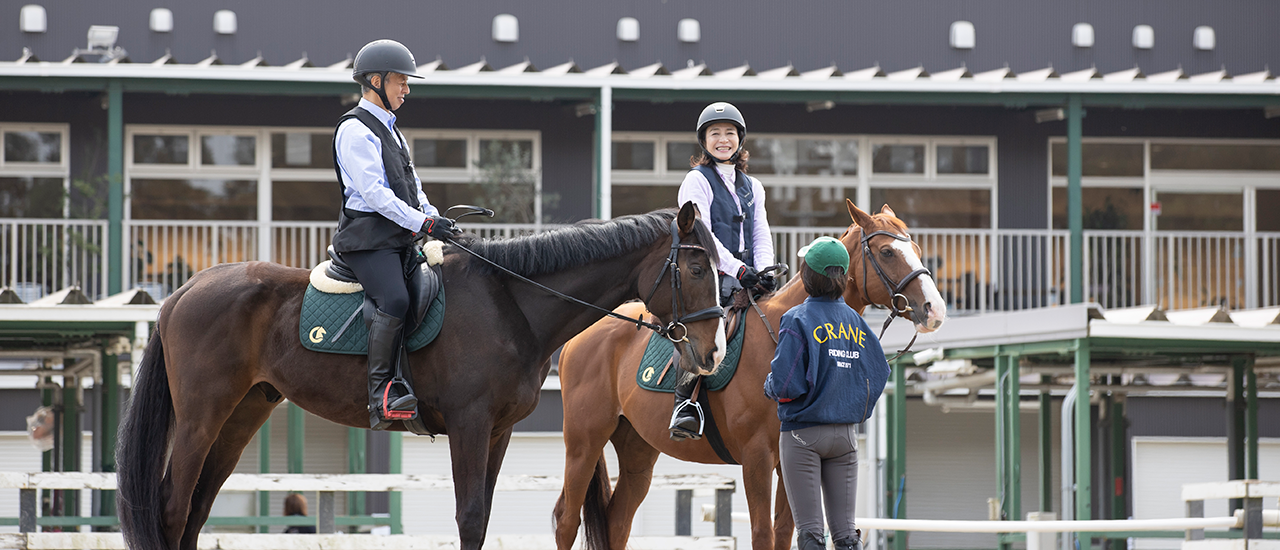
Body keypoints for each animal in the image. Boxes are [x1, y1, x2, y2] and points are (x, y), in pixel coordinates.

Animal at [120, 203, 732, 550]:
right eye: (696, 266)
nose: (710, 353)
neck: (511, 302)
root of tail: (185, 290)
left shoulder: (497, 432)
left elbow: (481, 519)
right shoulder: (469, 424)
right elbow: (468, 517)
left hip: (242, 414)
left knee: (196, 509)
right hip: (200, 418)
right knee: (172, 505)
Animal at [555, 200, 947, 550]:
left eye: (915, 248)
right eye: (887, 252)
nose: (935, 309)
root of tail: (583, 333)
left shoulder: (789, 460)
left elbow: (785, 534)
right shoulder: (756, 459)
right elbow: (762, 535)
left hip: (637, 449)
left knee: (618, 522)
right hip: (584, 443)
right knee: (566, 519)